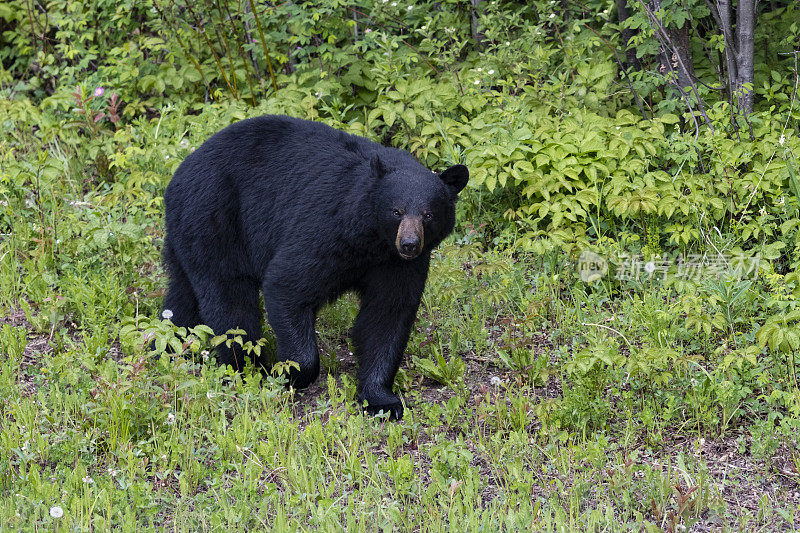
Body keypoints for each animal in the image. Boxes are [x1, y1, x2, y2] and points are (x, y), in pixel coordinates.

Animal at [161, 114, 468, 418]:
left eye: (428, 214)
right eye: (397, 211)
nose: (409, 244)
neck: (373, 241)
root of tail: (181, 170)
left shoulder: (398, 266)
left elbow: (387, 314)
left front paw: (381, 399)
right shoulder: (327, 227)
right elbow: (287, 284)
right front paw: (288, 373)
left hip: (189, 233)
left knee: (183, 295)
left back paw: (169, 345)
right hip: (213, 216)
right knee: (228, 300)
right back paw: (245, 367)